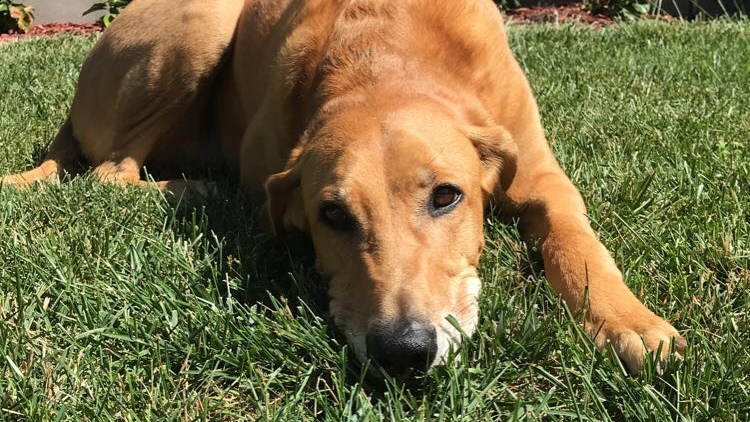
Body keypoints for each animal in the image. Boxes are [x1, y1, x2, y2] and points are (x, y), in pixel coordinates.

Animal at [0, 0, 684, 374]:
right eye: (331, 215)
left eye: (446, 195)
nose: (403, 351)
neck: (386, 53)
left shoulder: (543, 176)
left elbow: (577, 245)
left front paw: (629, 323)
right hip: (203, 23)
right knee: (109, 172)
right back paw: (197, 190)